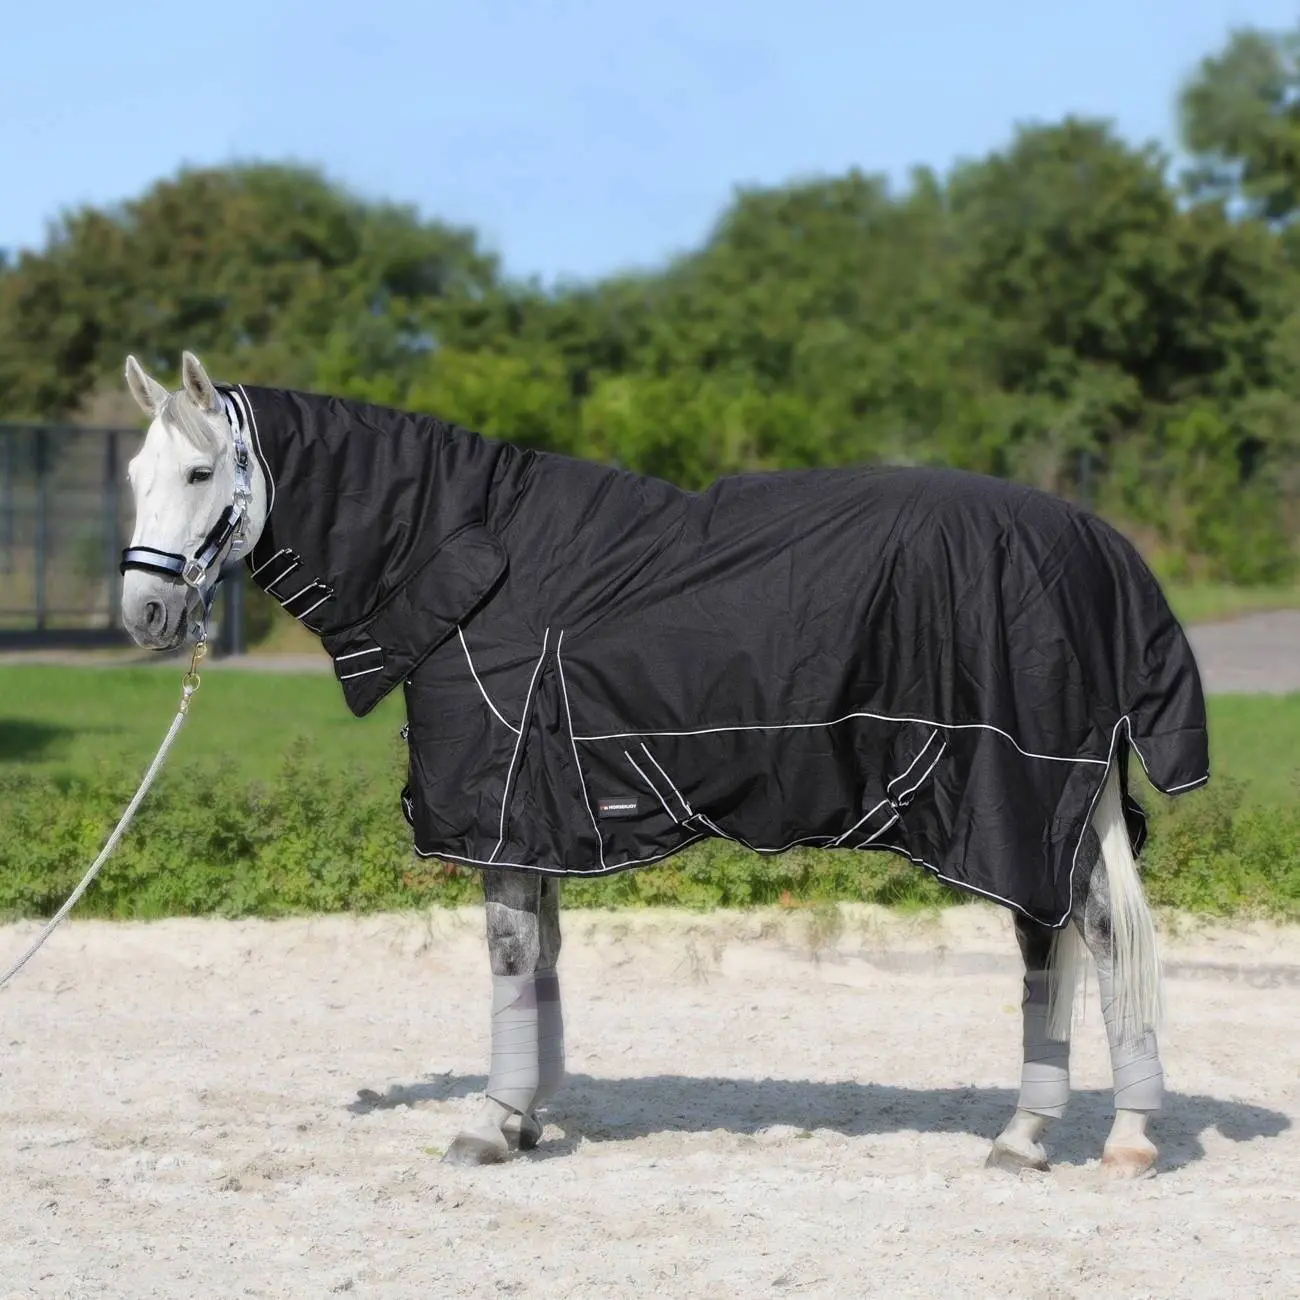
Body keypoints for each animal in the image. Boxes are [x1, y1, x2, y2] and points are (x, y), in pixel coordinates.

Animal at [119, 351, 1209, 1175]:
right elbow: (542, 957)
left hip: (1020, 798)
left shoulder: (503, 809)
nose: (146, 613)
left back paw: (1111, 1137)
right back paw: (1036, 1135)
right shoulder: (541, 820)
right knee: (1064, 940)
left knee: (1081, 937)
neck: (469, 561)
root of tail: (1102, 550)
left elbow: (508, 955)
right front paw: (527, 1113)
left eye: (199, 475)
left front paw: (490, 1122)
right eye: (133, 475)